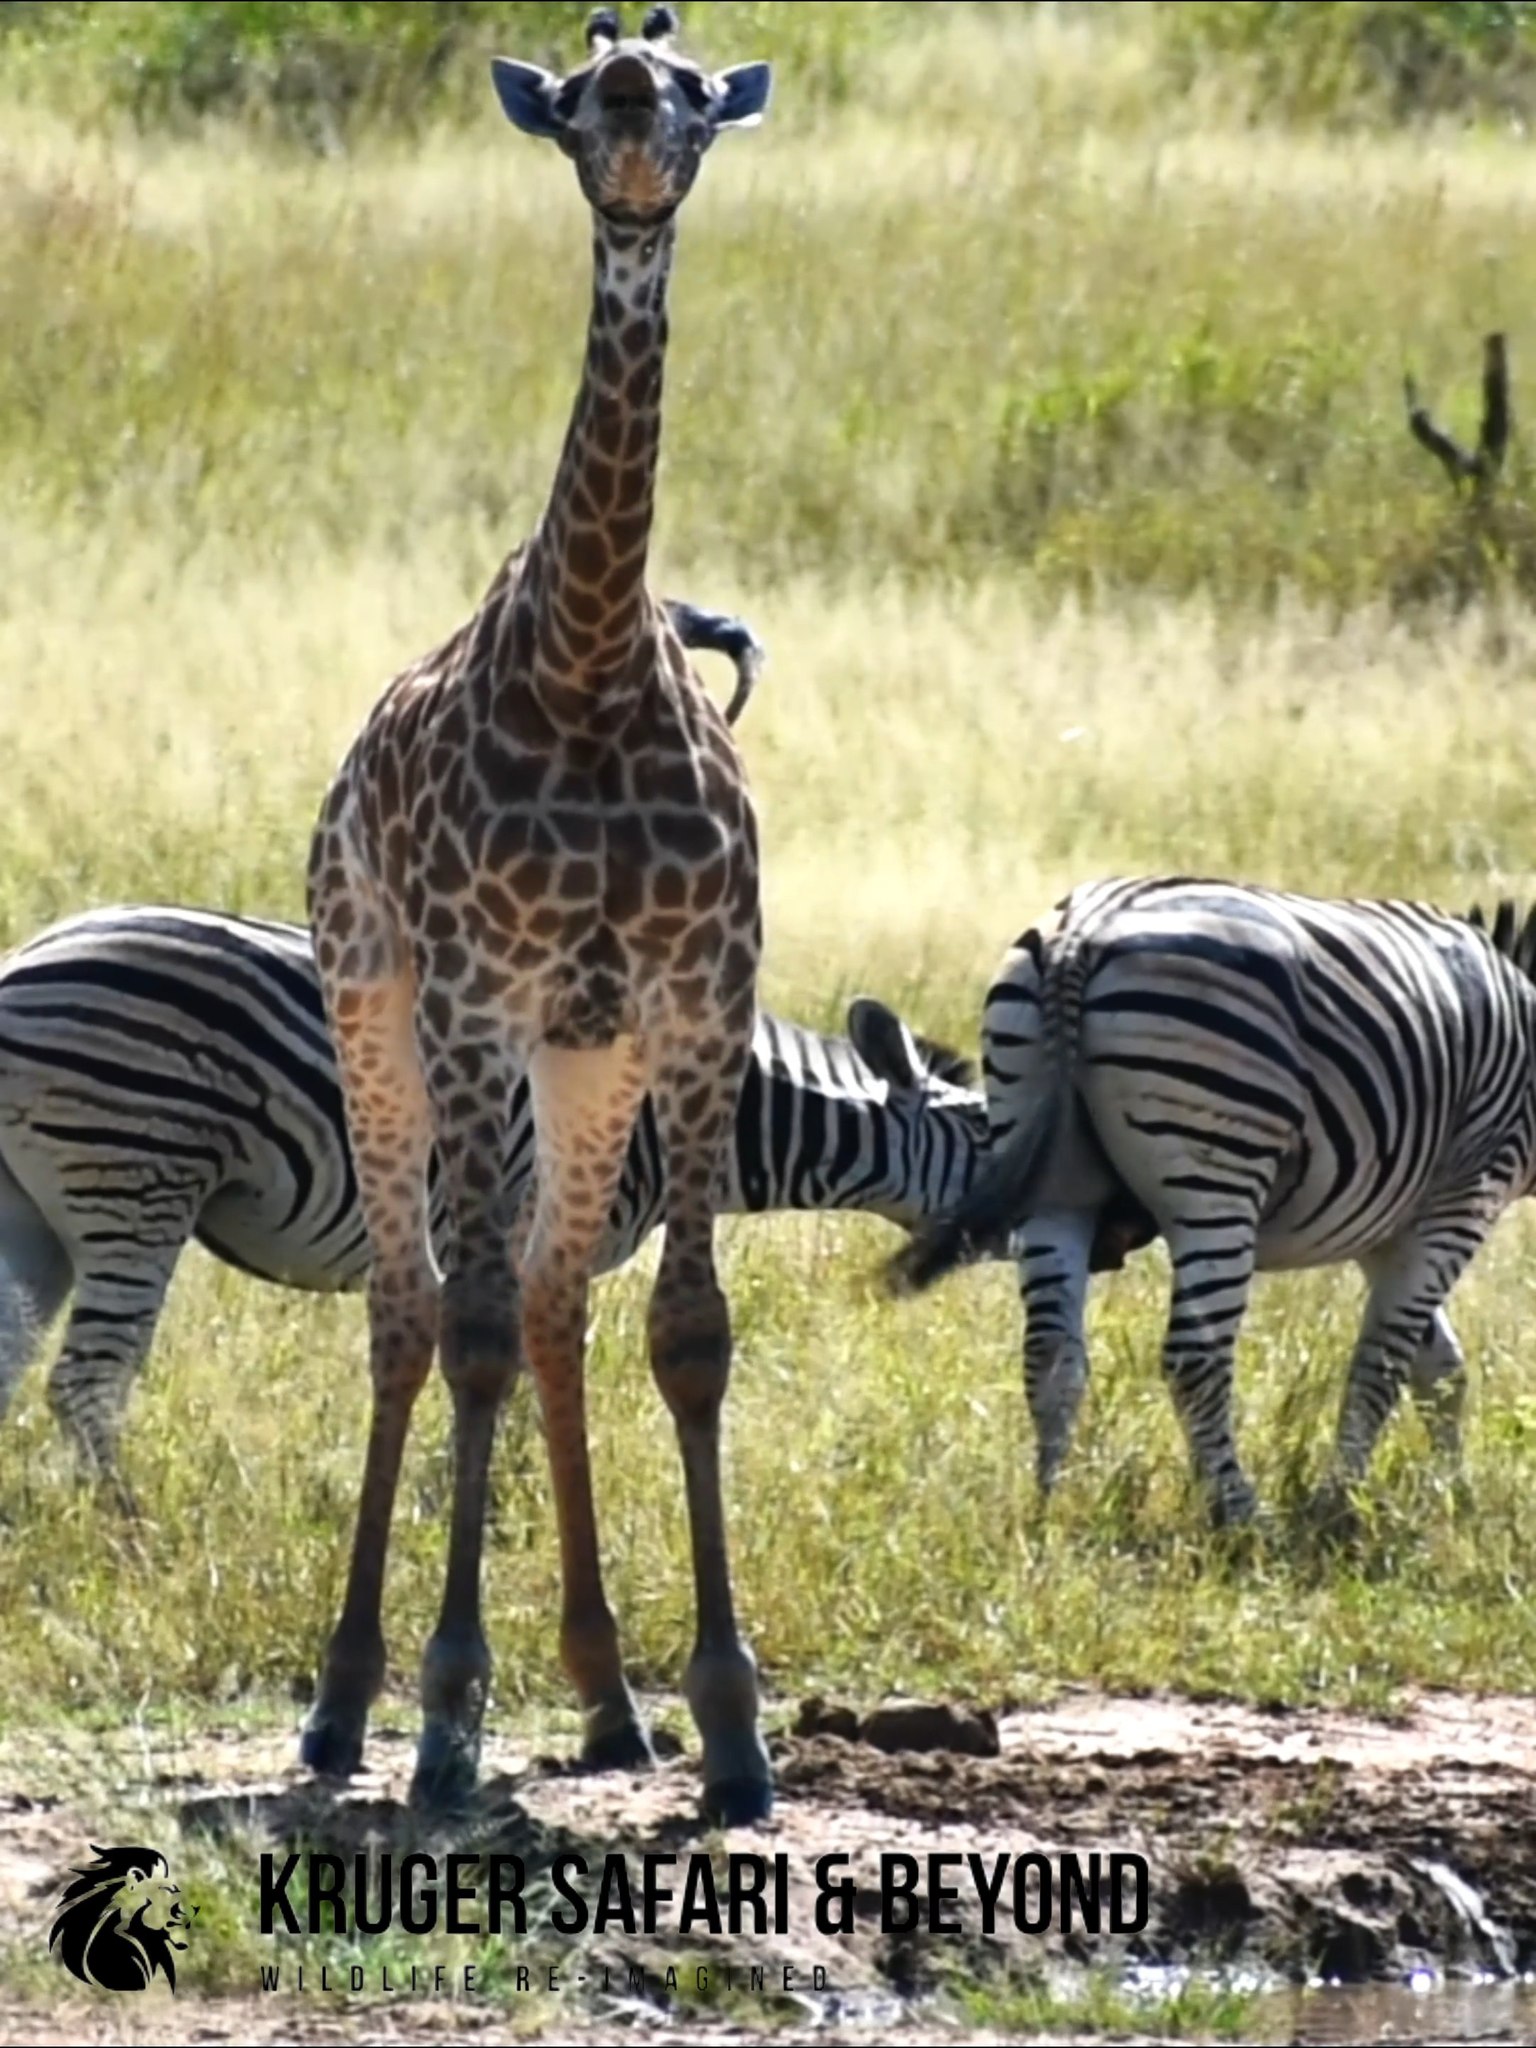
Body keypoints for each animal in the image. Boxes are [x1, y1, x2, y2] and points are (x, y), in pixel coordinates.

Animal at [0, 906, 985, 1508]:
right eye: (988, 1129)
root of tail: (25, 962)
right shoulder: (536, 1222)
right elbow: (518, 1367)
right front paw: (497, 1502)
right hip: (137, 1169)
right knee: (87, 1381)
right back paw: (129, 1529)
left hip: (39, 1211)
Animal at [300, 5, 775, 1825]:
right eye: (579, 98)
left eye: (699, 85)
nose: (636, 121)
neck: (585, 662)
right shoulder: (472, 998)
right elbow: (475, 1326)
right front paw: (445, 1718)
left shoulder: (698, 994)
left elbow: (687, 1331)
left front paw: (730, 1720)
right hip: (370, 1007)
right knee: (412, 1305)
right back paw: (341, 1707)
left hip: (590, 1062)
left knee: (565, 1302)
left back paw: (610, 1698)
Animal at [890, 874, 1536, 1532]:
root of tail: (1083, 930)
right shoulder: (1462, 1196)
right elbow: (1384, 1362)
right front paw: (1341, 1503)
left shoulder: (1385, 1229)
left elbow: (1439, 1369)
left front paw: (1450, 1495)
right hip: (1217, 1163)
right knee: (1194, 1358)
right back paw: (1240, 1513)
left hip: (1053, 1177)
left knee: (1050, 1352)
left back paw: (1050, 1503)